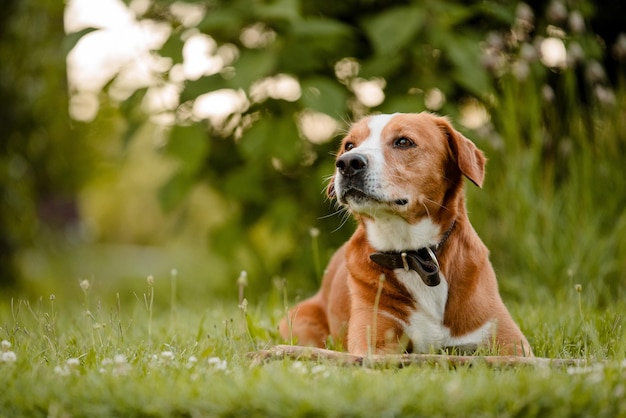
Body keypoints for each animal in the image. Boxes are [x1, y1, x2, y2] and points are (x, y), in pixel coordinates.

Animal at [280, 111, 528, 356]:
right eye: (349, 145)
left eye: (403, 142)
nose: (348, 162)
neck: (413, 253)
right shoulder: (373, 346)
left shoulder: (511, 343)